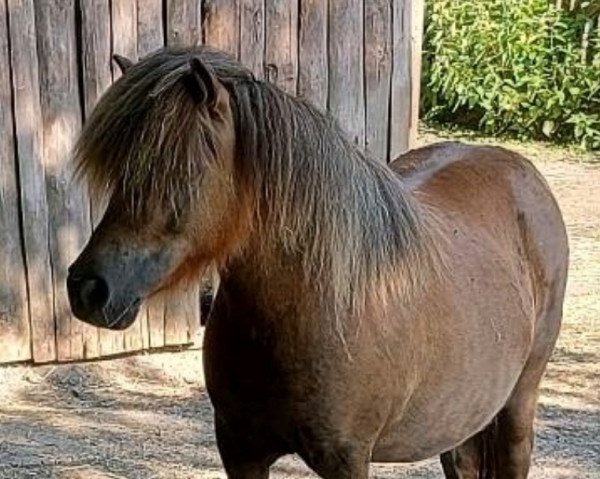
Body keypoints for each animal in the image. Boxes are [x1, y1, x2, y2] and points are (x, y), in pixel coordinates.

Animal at [67, 46, 568, 479]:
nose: (88, 288)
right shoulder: (239, 449)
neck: (312, 308)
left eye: (178, 173)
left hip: (518, 407)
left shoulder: (346, 459)